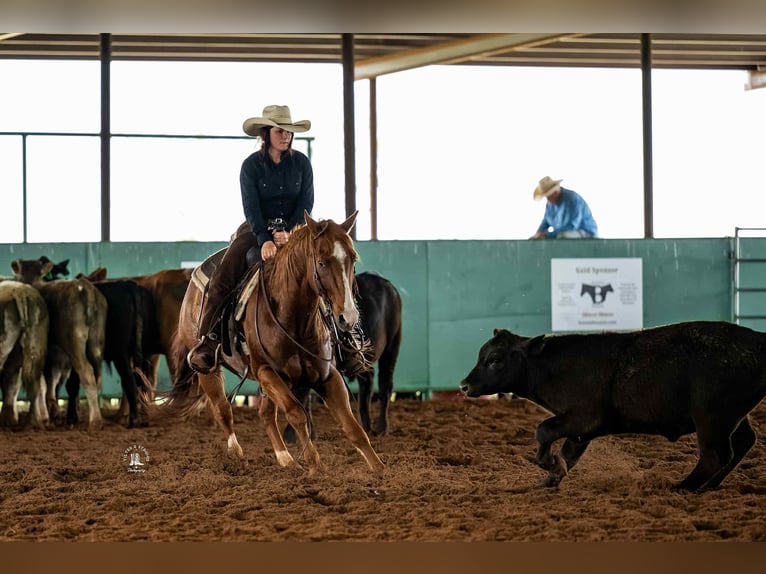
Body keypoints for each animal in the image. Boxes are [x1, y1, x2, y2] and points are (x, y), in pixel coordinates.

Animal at [157, 211, 384, 476]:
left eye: (352, 258)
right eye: (321, 262)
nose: (347, 318)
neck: (294, 319)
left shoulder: (327, 376)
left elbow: (351, 426)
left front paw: (380, 469)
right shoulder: (267, 371)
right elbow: (296, 414)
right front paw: (316, 467)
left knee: (264, 413)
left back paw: (285, 458)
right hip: (210, 371)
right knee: (223, 410)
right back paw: (236, 455)